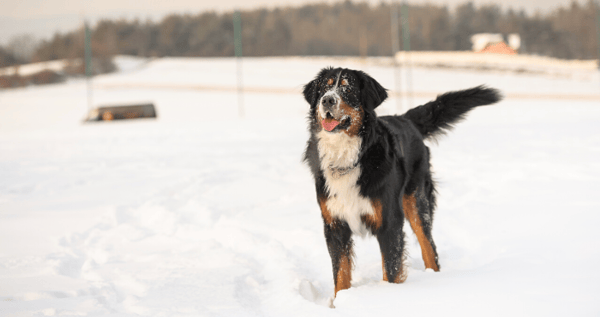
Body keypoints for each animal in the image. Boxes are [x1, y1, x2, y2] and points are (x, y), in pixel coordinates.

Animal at [300, 66, 502, 296]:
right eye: (324, 88)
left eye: (348, 89)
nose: (327, 100)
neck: (348, 156)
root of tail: (406, 119)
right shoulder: (335, 225)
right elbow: (340, 276)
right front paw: (340, 301)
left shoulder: (389, 223)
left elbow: (391, 271)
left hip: (416, 202)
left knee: (429, 249)